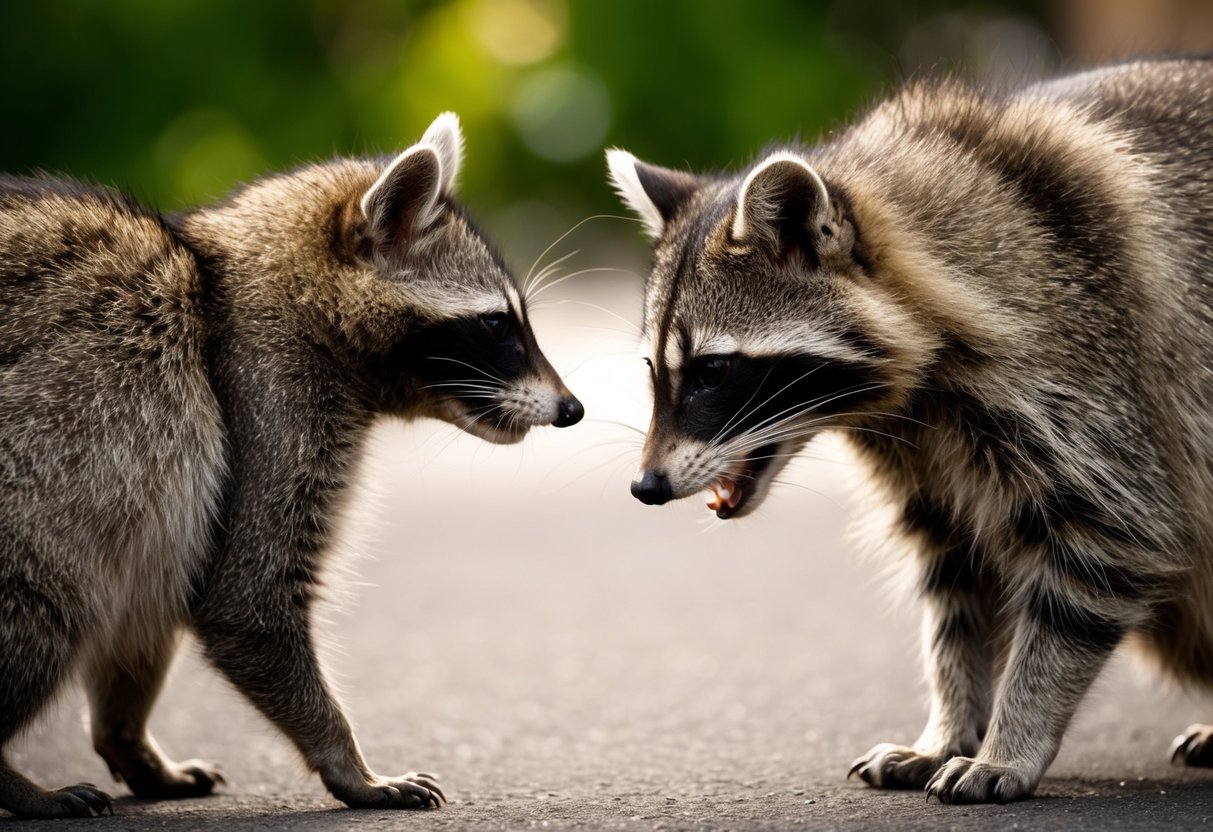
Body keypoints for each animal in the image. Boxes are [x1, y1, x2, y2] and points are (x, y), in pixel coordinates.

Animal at [0, 113, 582, 819]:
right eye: (498, 326)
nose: (574, 409)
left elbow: (152, 603)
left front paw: (126, 736)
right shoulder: (266, 409)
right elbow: (245, 601)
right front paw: (348, 761)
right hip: (38, 491)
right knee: (48, 601)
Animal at [607, 57, 1213, 803]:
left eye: (712, 371)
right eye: (652, 368)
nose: (646, 486)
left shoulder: (1088, 367)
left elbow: (1108, 545)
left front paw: (1014, 736)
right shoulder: (922, 456)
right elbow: (956, 588)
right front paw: (949, 725)